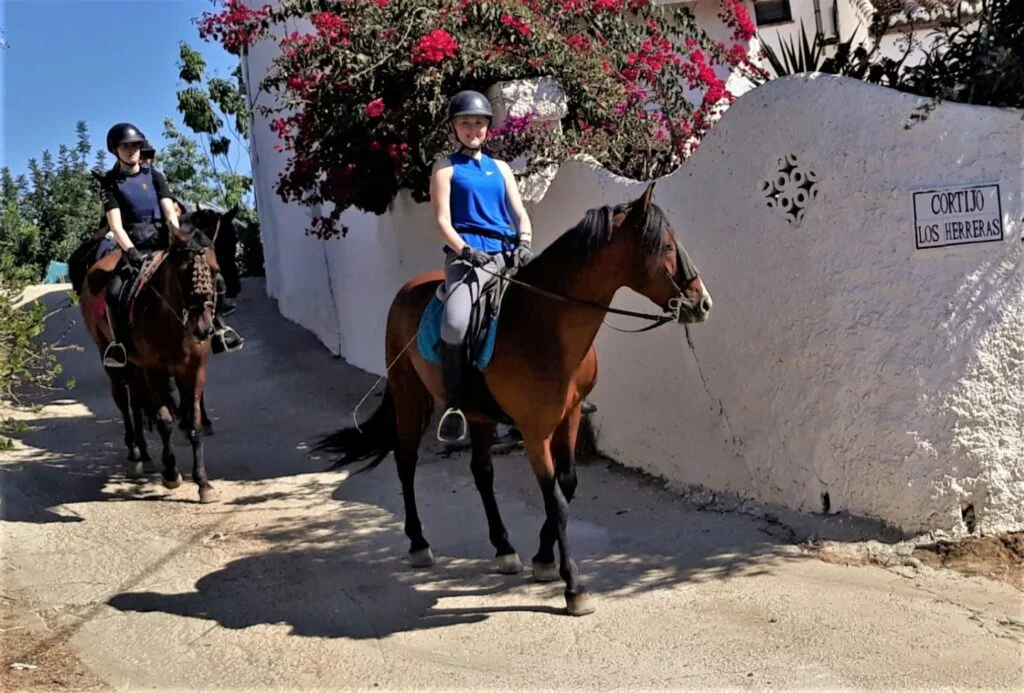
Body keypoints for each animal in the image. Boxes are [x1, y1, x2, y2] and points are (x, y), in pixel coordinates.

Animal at [76, 205, 239, 503]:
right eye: (183, 272)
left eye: (214, 270)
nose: (203, 327)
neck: (172, 320)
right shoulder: (155, 369)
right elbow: (164, 420)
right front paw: (172, 474)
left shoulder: (194, 368)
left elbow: (194, 419)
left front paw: (203, 483)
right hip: (114, 359)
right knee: (125, 401)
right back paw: (135, 452)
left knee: (137, 400)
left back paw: (144, 452)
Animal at [311, 181, 712, 614]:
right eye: (666, 246)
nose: (702, 303)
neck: (547, 325)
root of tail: (408, 288)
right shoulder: (535, 431)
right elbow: (555, 498)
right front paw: (574, 586)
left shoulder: (570, 415)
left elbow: (567, 485)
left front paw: (543, 558)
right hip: (408, 395)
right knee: (406, 462)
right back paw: (419, 544)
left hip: (479, 415)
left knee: (481, 472)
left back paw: (504, 549)